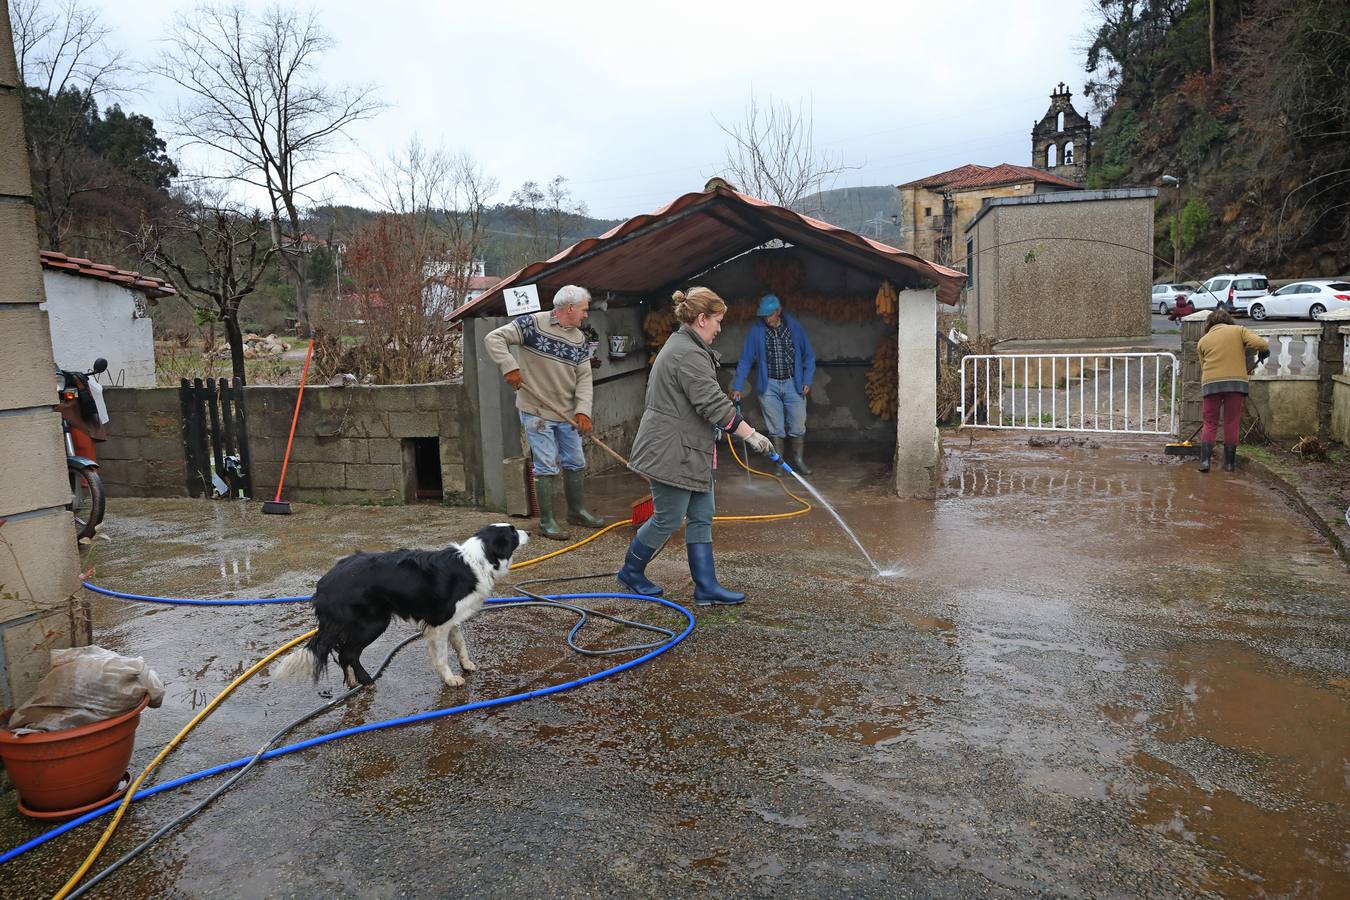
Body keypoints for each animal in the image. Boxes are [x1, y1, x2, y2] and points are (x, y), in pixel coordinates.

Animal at [278, 523, 526, 685]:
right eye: (513, 532)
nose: (529, 532)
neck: (477, 559)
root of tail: (324, 583)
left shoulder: (452, 620)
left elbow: (460, 644)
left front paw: (466, 665)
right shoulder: (439, 624)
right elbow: (442, 656)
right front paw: (450, 679)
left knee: (342, 653)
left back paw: (352, 681)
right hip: (374, 623)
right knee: (349, 653)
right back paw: (366, 680)